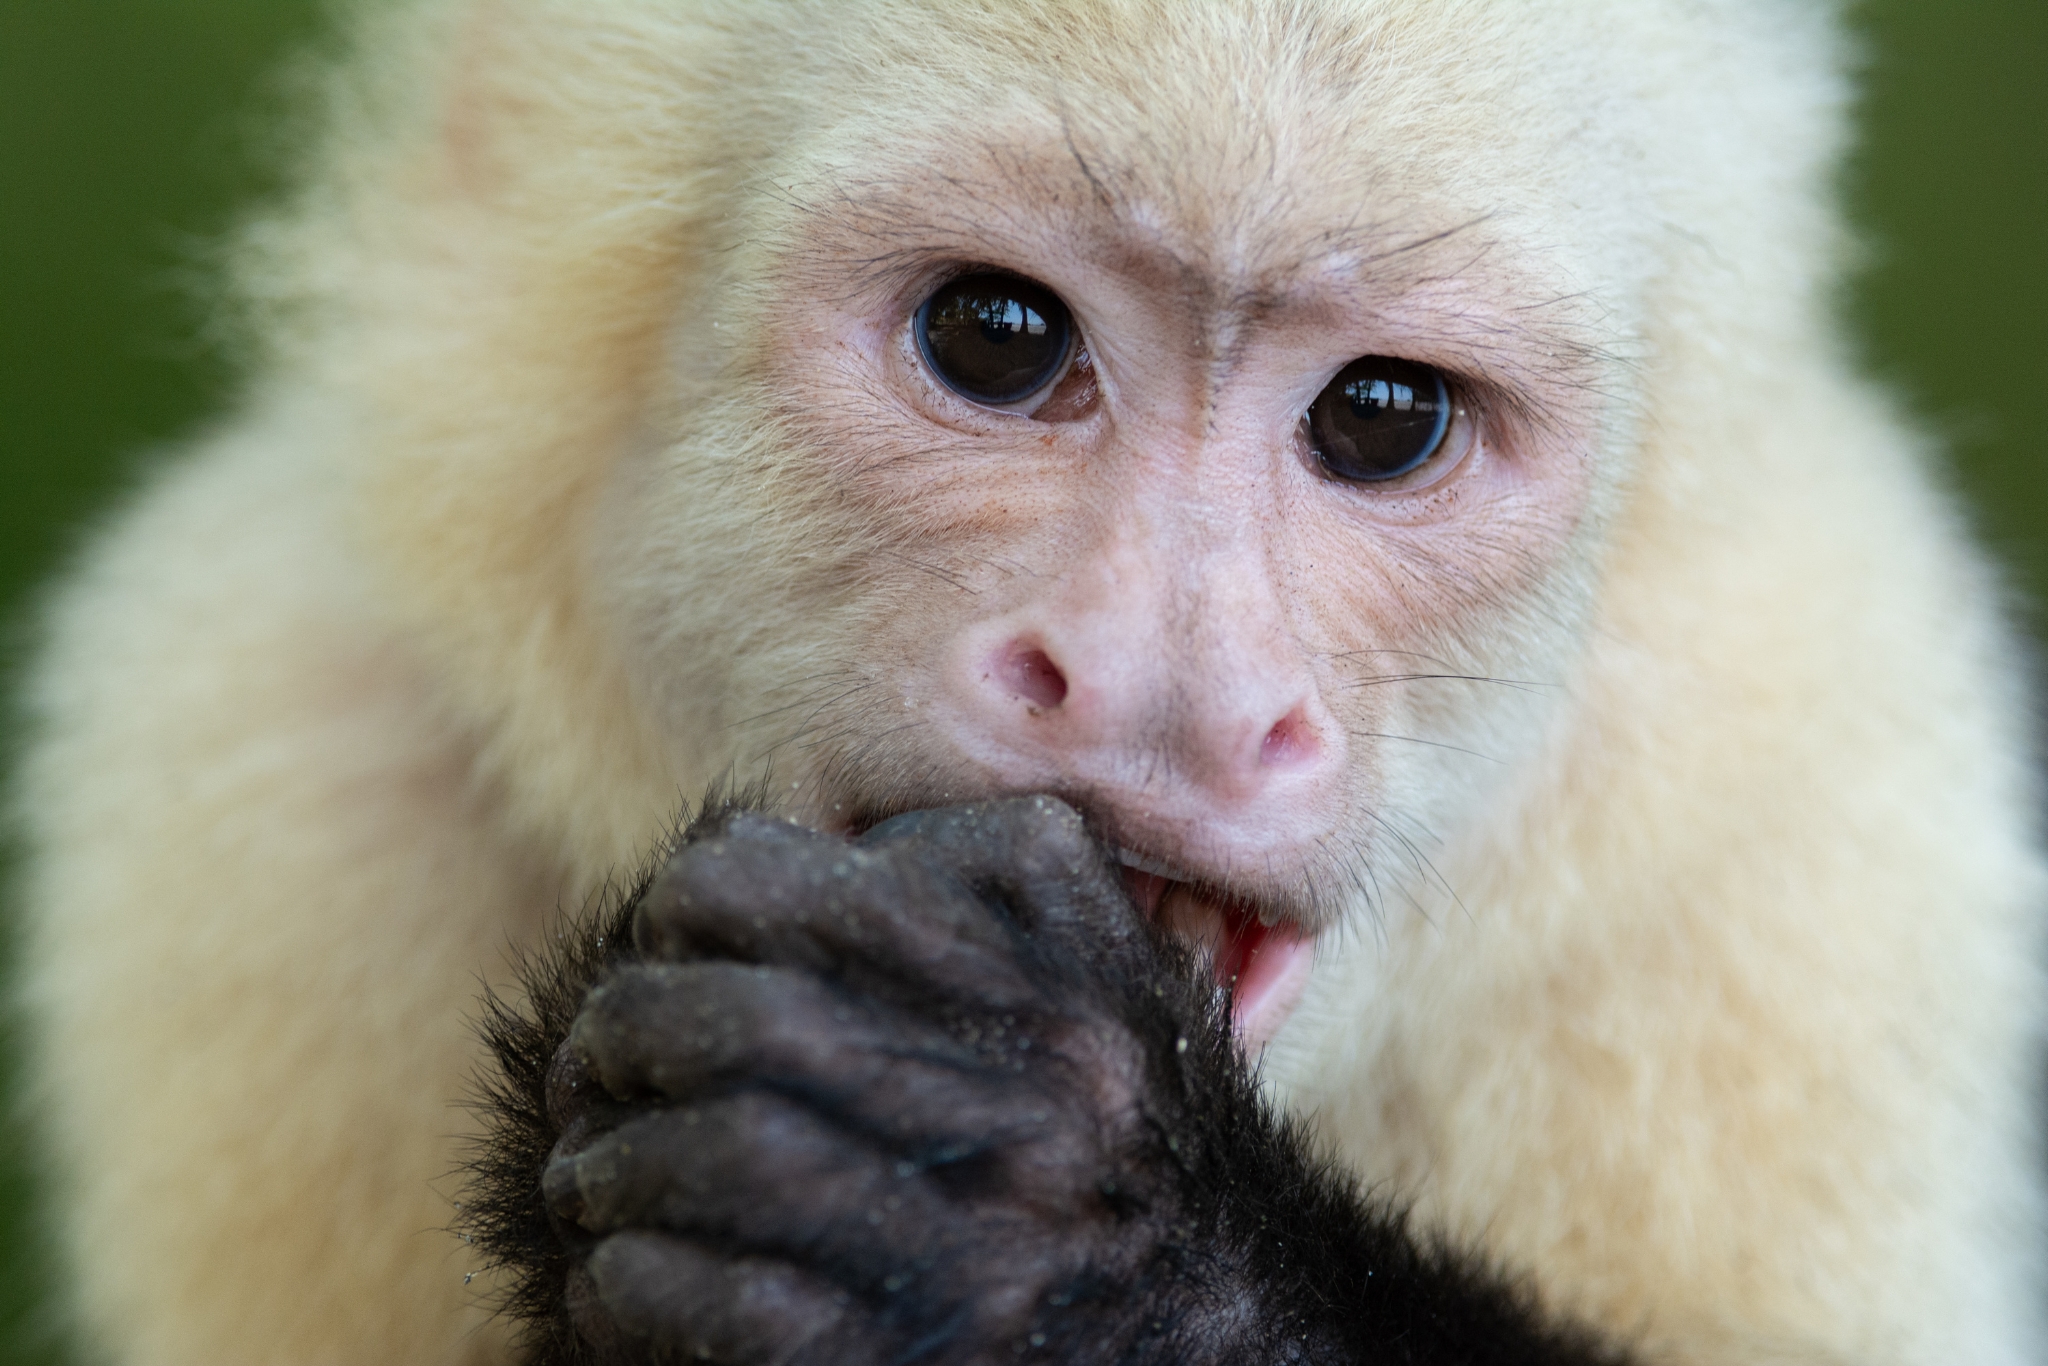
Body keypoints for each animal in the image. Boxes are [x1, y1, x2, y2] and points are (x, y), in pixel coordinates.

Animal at [10, 0, 2044, 1363]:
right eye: (995, 335)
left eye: (1383, 417)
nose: (1171, 681)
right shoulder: (261, 744)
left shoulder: (1804, 818)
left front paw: (1053, 1217)